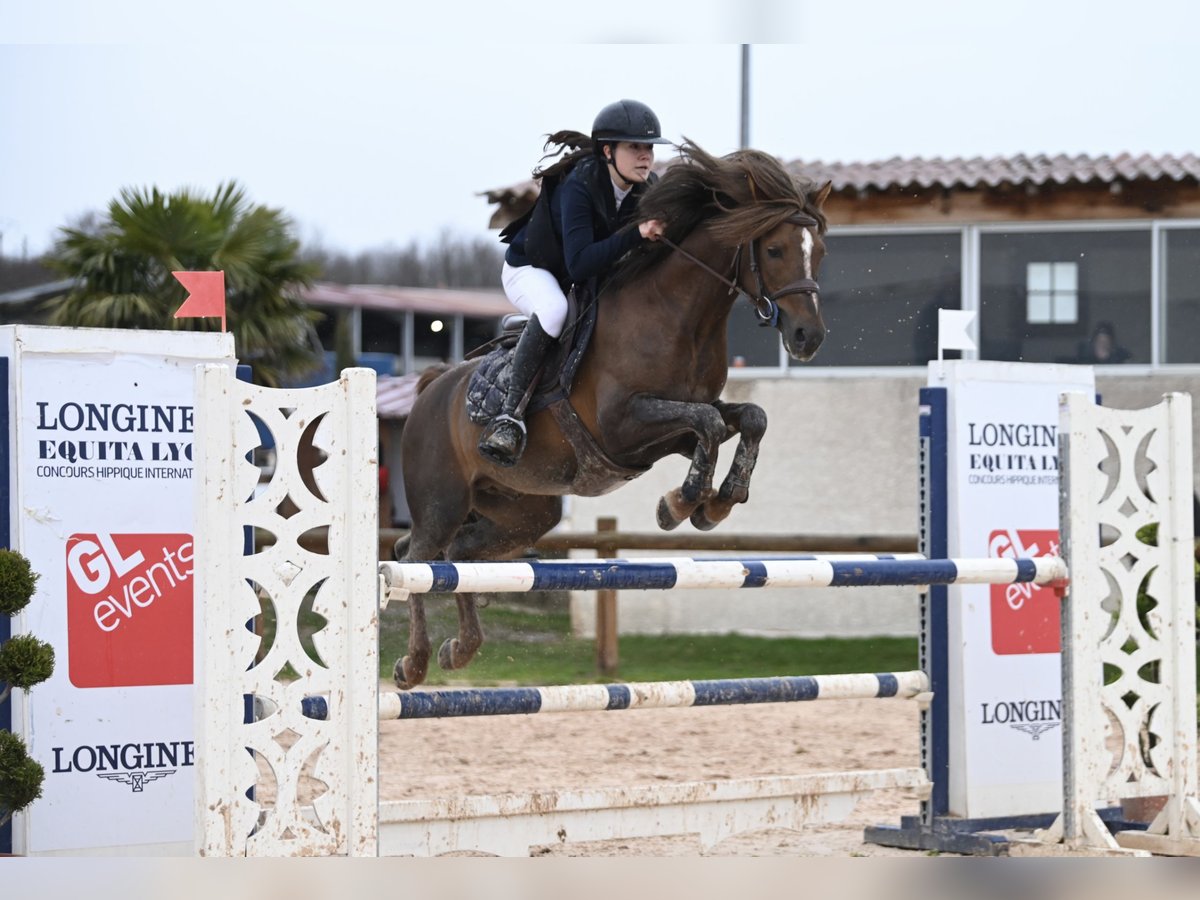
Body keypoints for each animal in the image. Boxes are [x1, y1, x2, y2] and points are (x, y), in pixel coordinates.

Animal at [388, 142, 830, 691]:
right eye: (773, 250)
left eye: (821, 250)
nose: (808, 338)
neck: (678, 316)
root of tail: (432, 387)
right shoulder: (623, 425)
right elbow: (708, 424)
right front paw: (680, 505)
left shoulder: (665, 435)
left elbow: (748, 417)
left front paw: (719, 502)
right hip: (442, 499)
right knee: (416, 558)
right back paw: (414, 662)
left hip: (523, 511)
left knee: (460, 556)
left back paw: (461, 649)